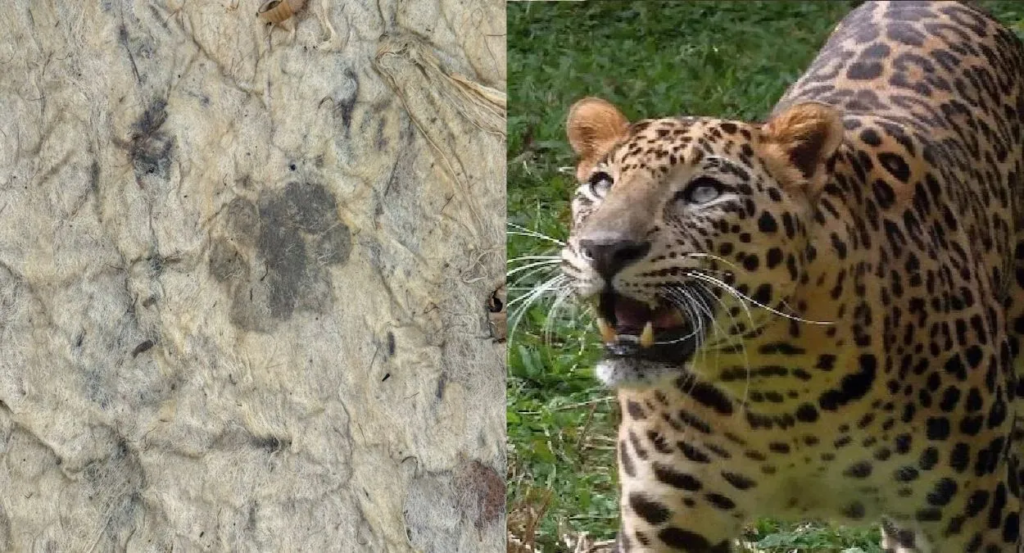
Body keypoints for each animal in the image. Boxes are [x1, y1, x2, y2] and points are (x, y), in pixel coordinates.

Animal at [558, 2, 1024, 551]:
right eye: (601, 184)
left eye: (705, 192)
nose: (604, 250)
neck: (780, 390)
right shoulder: (667, 521)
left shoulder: (973, 514)